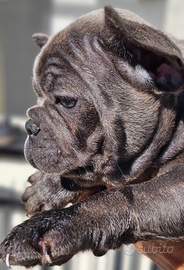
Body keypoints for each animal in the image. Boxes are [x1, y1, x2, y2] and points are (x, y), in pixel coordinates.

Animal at [0, 5, 184, 268]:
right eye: (37, 96)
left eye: (67, 101)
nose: (30, 126)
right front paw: (47, 186)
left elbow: (124, 196)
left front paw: (45, 227)